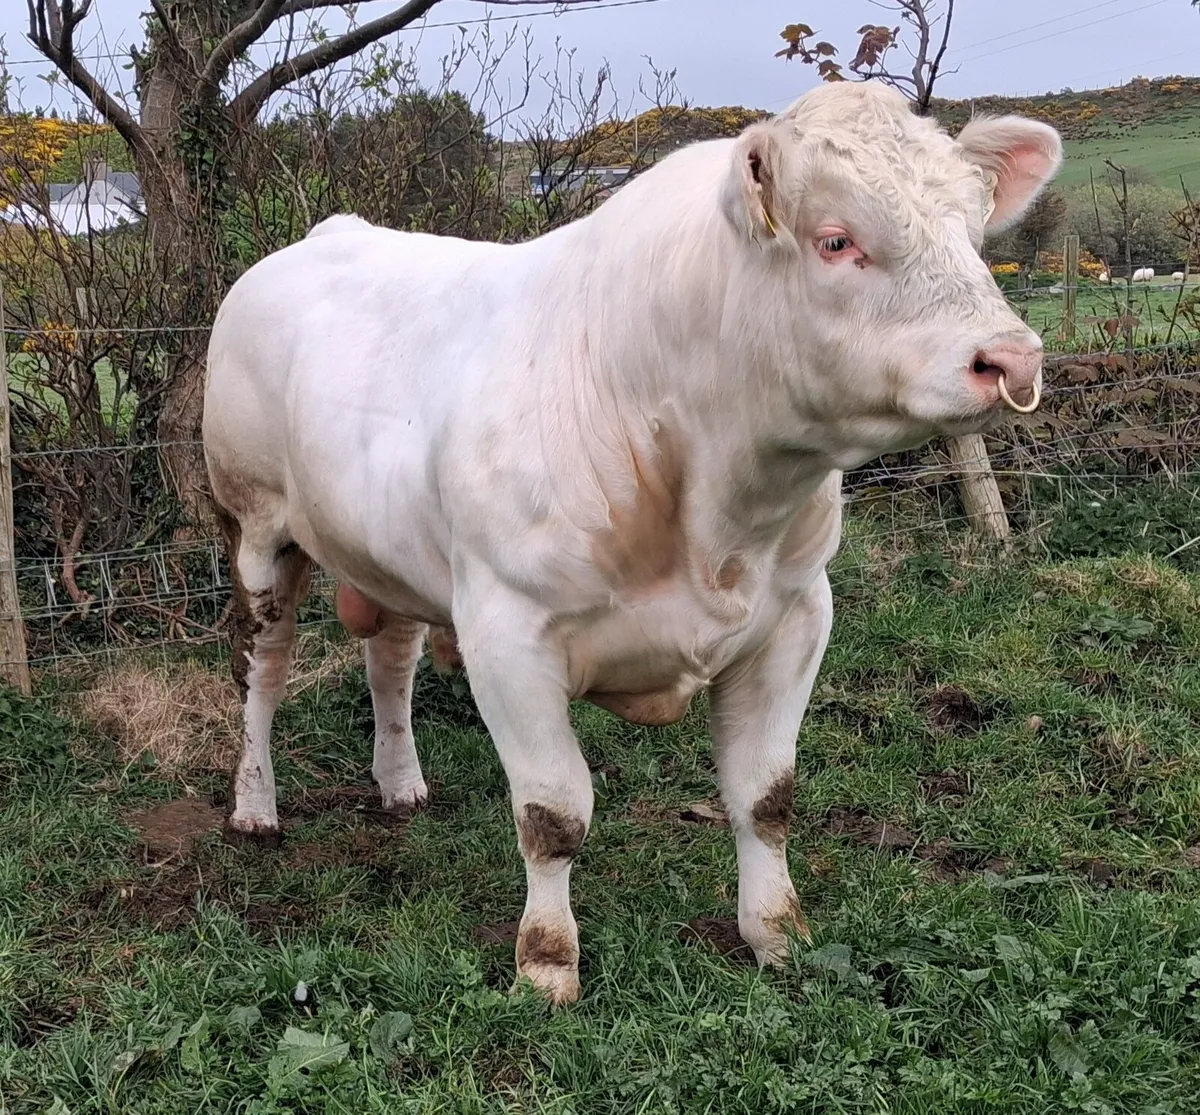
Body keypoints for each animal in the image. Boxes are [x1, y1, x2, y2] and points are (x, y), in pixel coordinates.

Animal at [203, 81, 1061, 1004]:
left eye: (973, 232)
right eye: (837, 240)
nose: (1012, 358)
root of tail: (328, 234)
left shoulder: (798, 614)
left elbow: (765, 795)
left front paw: (778, 934)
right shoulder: (508, 632)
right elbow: (553, 815)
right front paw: (546, 962)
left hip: (385, 551)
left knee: (389, 658)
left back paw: (400, 783)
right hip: (253, 529)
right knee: (261, 670)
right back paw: (255, 803)